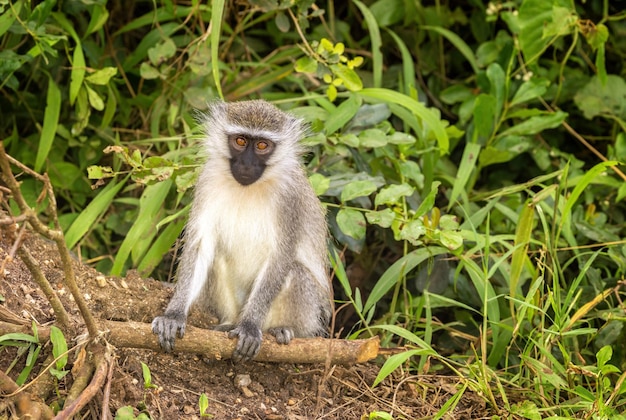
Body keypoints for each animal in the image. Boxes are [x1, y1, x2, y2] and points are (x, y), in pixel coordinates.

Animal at [151, 99, 332, 360]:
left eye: (262, 145)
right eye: (240, 141)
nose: (246, 164)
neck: (249, 188)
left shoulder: (290, 198)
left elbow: (281, 256)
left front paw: (249, 327)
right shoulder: (207, 181)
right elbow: (200, 244)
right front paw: (173, 315)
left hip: (308, 314)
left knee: (296, 272)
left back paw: (283, 330)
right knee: (216, 257)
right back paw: (228, 323)